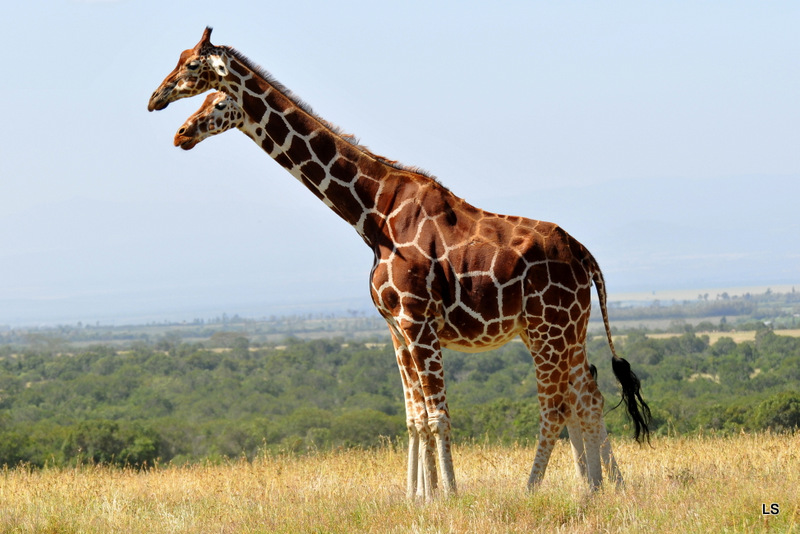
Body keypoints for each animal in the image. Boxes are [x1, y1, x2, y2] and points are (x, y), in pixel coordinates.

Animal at [148, 28, 648, 498]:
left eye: (197, 73)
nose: (171, 122)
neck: (372, 214)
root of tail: (585, 254)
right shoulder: (395, 326)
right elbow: (415, 418)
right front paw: (418, 497)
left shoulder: (417, 320)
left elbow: (438, 416)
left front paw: (448, 496)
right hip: (559, 328)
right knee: (587, 396)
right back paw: (600, 486)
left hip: (550, 327)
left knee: (556, 405)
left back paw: (535, 488)